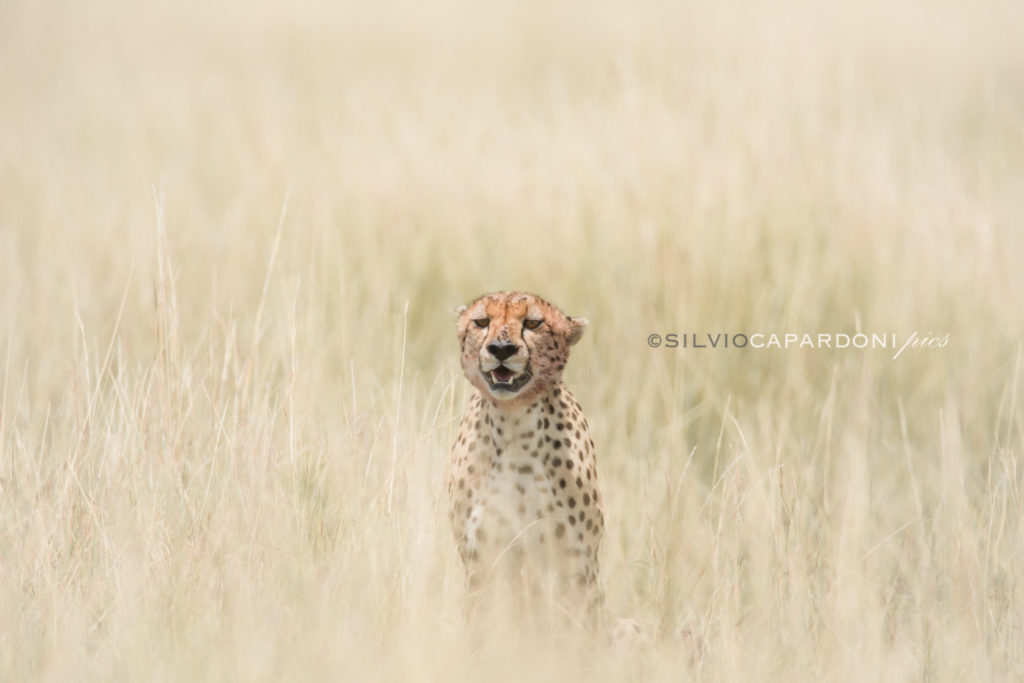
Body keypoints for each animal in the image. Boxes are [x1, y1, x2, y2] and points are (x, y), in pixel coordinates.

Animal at [447, 291, 603, 625]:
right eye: (482, 321)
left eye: (532, 323)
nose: (501, 349)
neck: (514, 421)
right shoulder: (480, 557)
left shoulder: (578, 561)